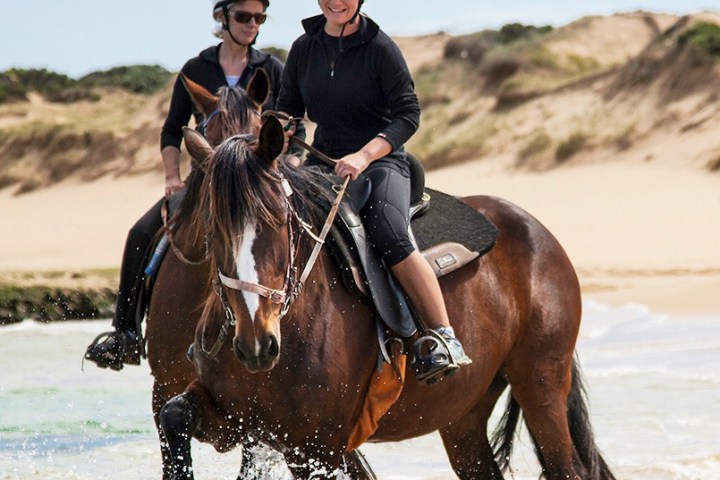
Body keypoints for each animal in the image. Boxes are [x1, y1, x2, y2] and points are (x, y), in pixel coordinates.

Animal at [159, 116, 616, 480]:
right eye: (212, 226)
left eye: (278, 218)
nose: (257, 343)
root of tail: (534, 229)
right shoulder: (239, 423)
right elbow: (173, 416)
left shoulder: (313, 447)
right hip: (463, 413)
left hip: (541, 384)